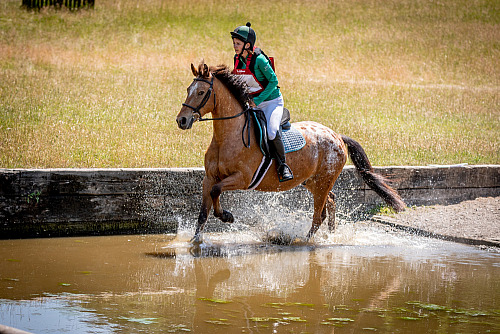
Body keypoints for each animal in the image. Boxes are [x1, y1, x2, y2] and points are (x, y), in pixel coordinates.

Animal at [176, 62, 406, 243]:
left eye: (201, 92)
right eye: (188, 89)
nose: (182, 120)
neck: (226, 137)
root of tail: (338, 136)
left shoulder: (243, 178)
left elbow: (216, 192)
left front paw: (227, 216)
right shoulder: (209, 177)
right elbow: (203, 212)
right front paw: (195, 241)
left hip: (323, 182)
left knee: (318, 215)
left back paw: (305, 241)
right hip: (313, 181)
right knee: (330, 203)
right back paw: (330, 236)